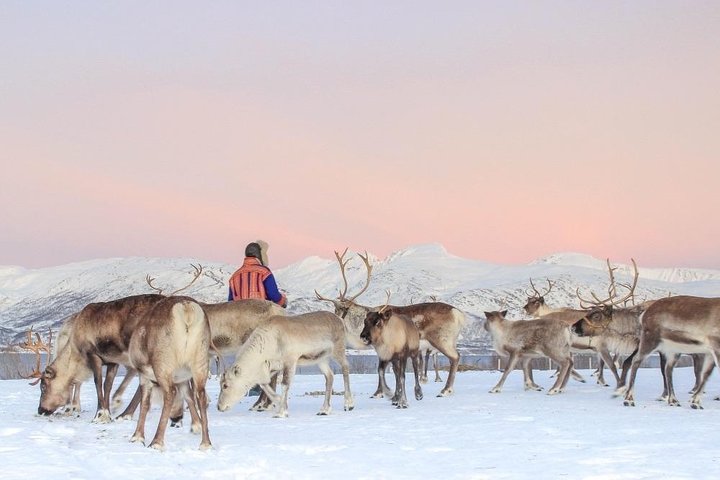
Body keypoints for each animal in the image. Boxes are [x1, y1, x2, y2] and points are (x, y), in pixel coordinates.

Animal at [315, 248, 466, 397]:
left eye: (339, 309)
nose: (330, 321)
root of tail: (458, 314)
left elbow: (384, 368)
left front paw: (379, 392)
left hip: (441, 339)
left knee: (455, 357)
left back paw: (446, 390)